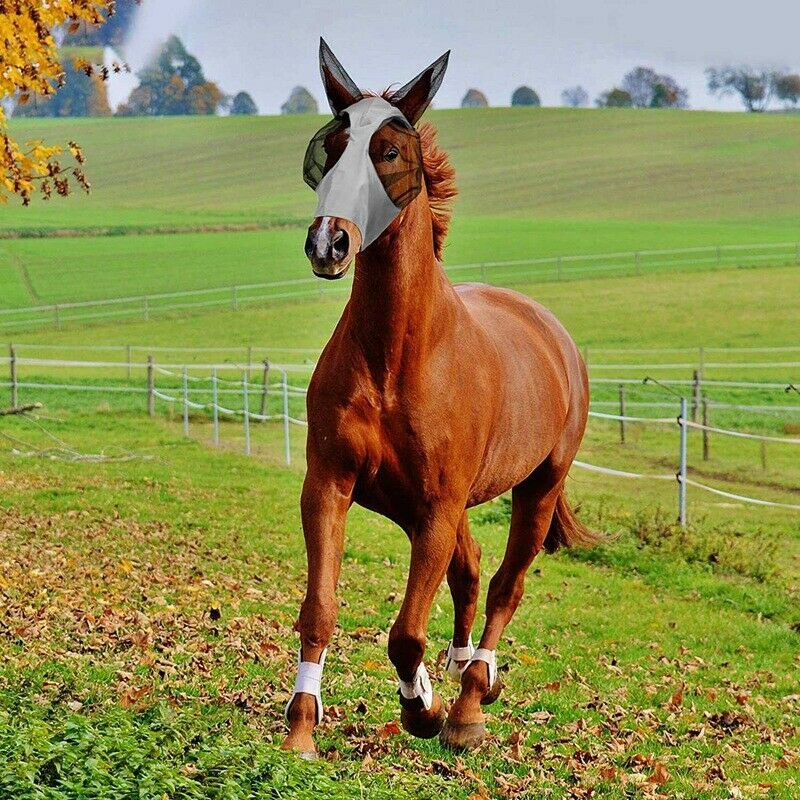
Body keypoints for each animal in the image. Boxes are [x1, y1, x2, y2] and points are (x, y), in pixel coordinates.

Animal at [282, 39, 597, 757]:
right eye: (331, 145)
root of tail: (555, 336)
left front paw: (421, 709)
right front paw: (301, 729)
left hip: (534, 489)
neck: (397, 357)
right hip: (426, 507)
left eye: (391, 152)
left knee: (505, 585)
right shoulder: (332, 485)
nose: (328, 242)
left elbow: (405, 633)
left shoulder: (437, 506)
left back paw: (470, 701)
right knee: (471, 571)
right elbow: (321, 609)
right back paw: (458, 673)